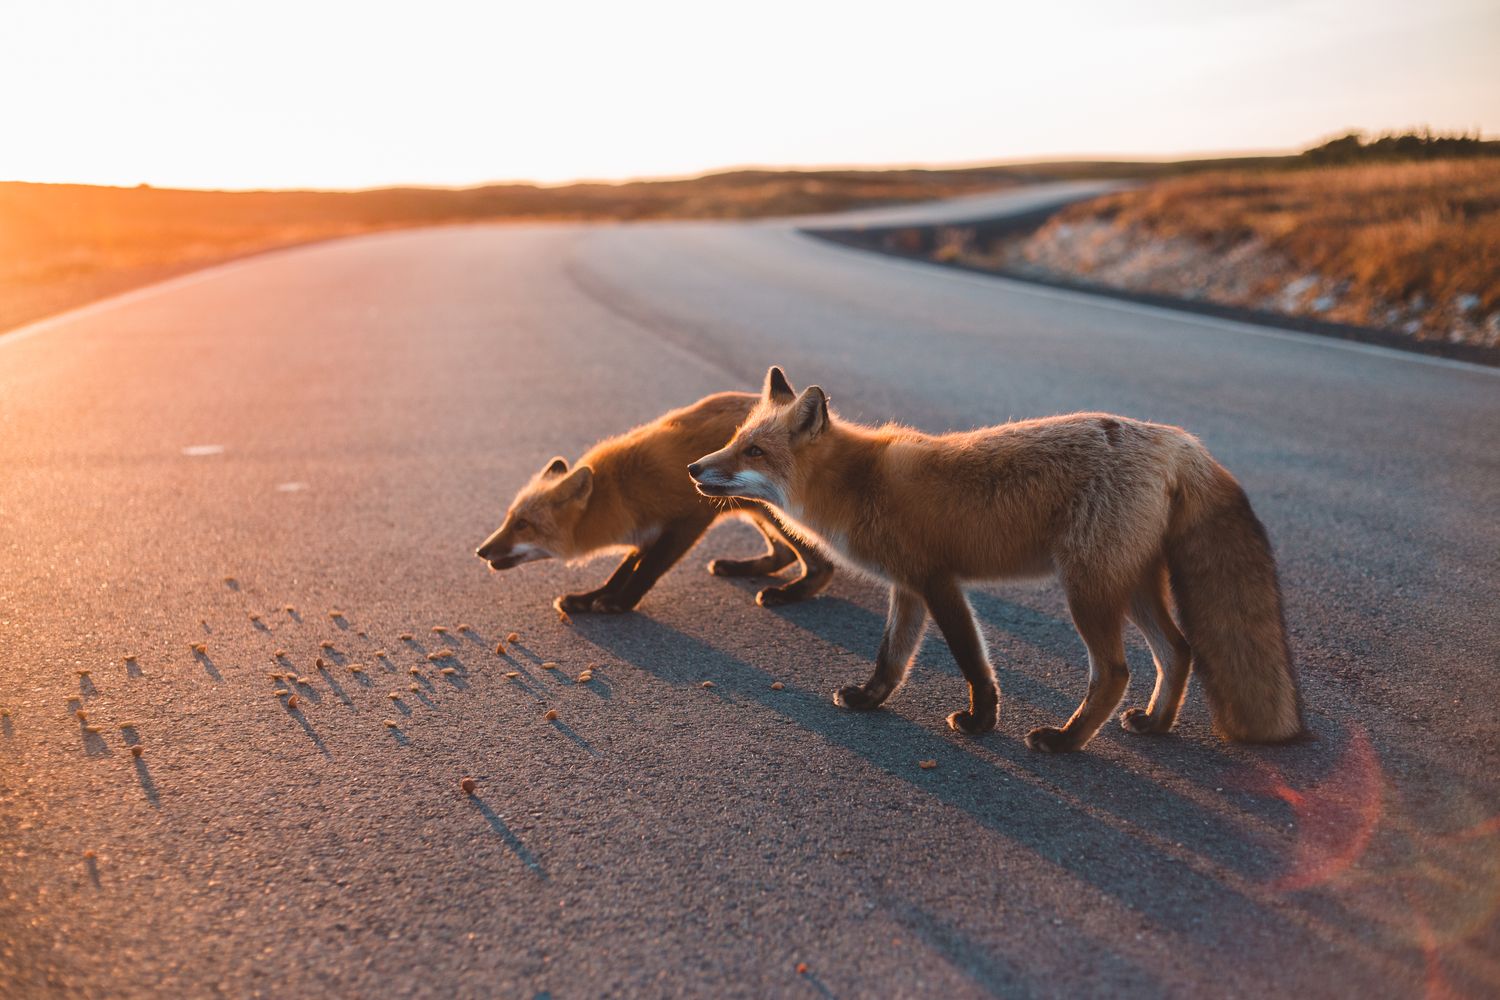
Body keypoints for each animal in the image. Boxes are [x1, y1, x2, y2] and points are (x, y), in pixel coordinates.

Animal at [475, 391, 834, 614]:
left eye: (523, 525)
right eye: (509, 519)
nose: (481, 551)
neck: (620, 489)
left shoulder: (688, 520)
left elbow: (647, 569)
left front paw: (619, 604)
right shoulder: (645, 530)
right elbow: (622, 570)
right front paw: (591, 598)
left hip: (773, 511)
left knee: (821, 566)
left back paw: (787, 593)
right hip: (757, 510)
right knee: (783, 554)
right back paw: (739, 567)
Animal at [688, 366, 1304, 753]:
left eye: (754, 451)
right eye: (737, 439)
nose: (694, 468)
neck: (859, 484)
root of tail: (1176, 439)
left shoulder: (938, 581)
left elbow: (972, 662)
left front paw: (982, 722)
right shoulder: (907, 585)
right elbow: (891, 658)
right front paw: (868, 699)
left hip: (1088, 591)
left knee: (1115, 671)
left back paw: (1066, 742)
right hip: (1131, 585)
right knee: (1178, 651)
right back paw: (1154, 724)